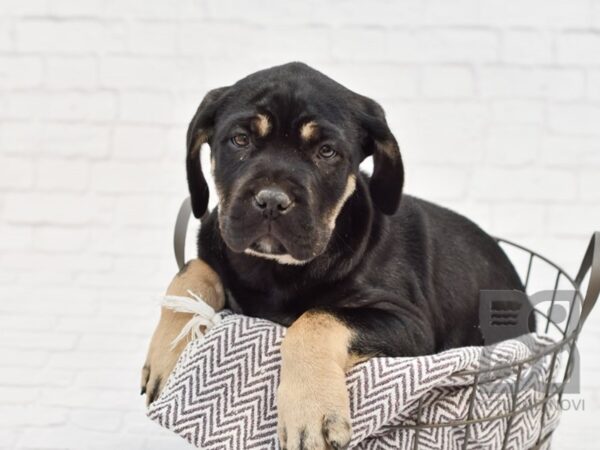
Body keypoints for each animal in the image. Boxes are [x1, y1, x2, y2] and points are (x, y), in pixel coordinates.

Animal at [142, 63, 528, 450]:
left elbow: (317, 319)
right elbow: (192, 271)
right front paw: (167, 355)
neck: (274, 271)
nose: (271, 201)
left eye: (327, 152)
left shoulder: (410, 324)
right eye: (240, 140)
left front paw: (310, 411)